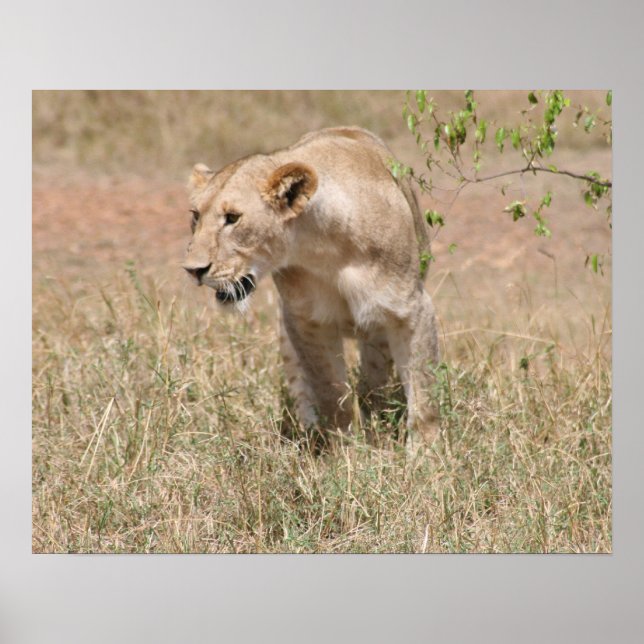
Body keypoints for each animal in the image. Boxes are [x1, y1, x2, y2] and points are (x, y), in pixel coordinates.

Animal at [183, 126, 439, 446]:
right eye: (195, 216)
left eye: (232, 218)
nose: (193, 270)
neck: (323, 249)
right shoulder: (305, 321)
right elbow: (330, 392)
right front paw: (342, 449)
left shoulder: (411, 310)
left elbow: (423, 393)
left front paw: (426, 453)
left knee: (374, 380)